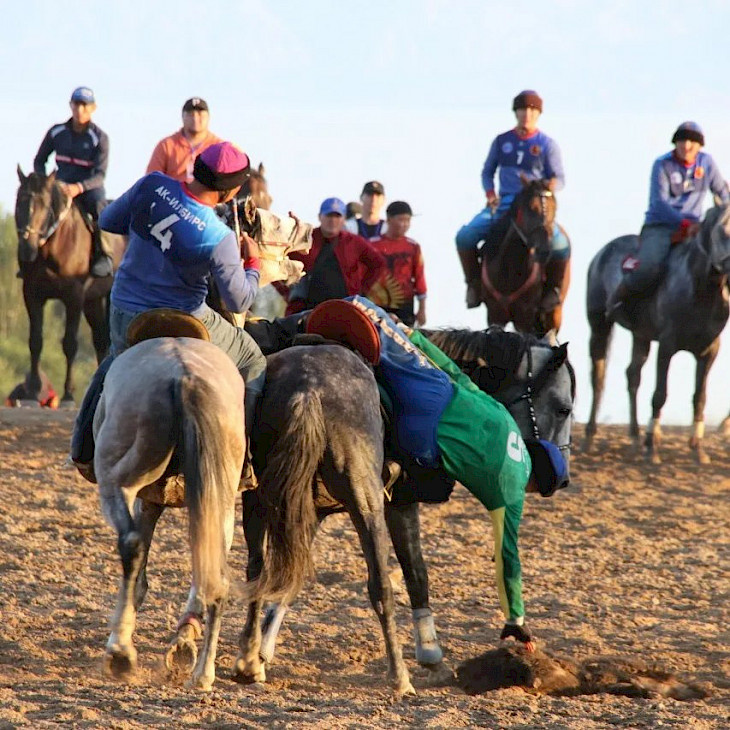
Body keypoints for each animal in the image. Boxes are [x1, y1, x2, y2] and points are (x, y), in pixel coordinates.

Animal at [13, 166, 125, 404]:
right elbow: (35, 341)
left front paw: (68, 394)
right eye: (19, 202)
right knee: (100, 340)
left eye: (45, 205)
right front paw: (33, 391)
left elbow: (70, 344)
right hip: (93, 301)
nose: (27, 249)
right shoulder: (32, 294)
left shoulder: (73, 297)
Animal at [94, 334, 245, 688]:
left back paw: (120, 651)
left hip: (117, 480)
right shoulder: (154, 503)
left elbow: (138, 573)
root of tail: (184, 376)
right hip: (218, 499)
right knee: (214, 572)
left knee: (131, 544)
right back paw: (203, 671)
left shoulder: (143, 501)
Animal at [478, 179, 568, 336]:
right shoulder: (495, 314)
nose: (544, 250)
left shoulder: (525, 316)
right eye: (531, 208)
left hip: (554, 314)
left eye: (555, 209)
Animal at [584, 203, 730, 460]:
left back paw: (634, 437)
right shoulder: (667, 345)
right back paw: (591, 437)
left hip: (640, 335)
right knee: (598, 378)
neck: (698, 289)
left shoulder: (710, 350)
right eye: (723, 230)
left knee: (632, 375)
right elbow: (660, 394)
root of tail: (601, 254)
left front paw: (698, 448)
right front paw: (652, 446)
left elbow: (700, 397)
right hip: (599, 325)